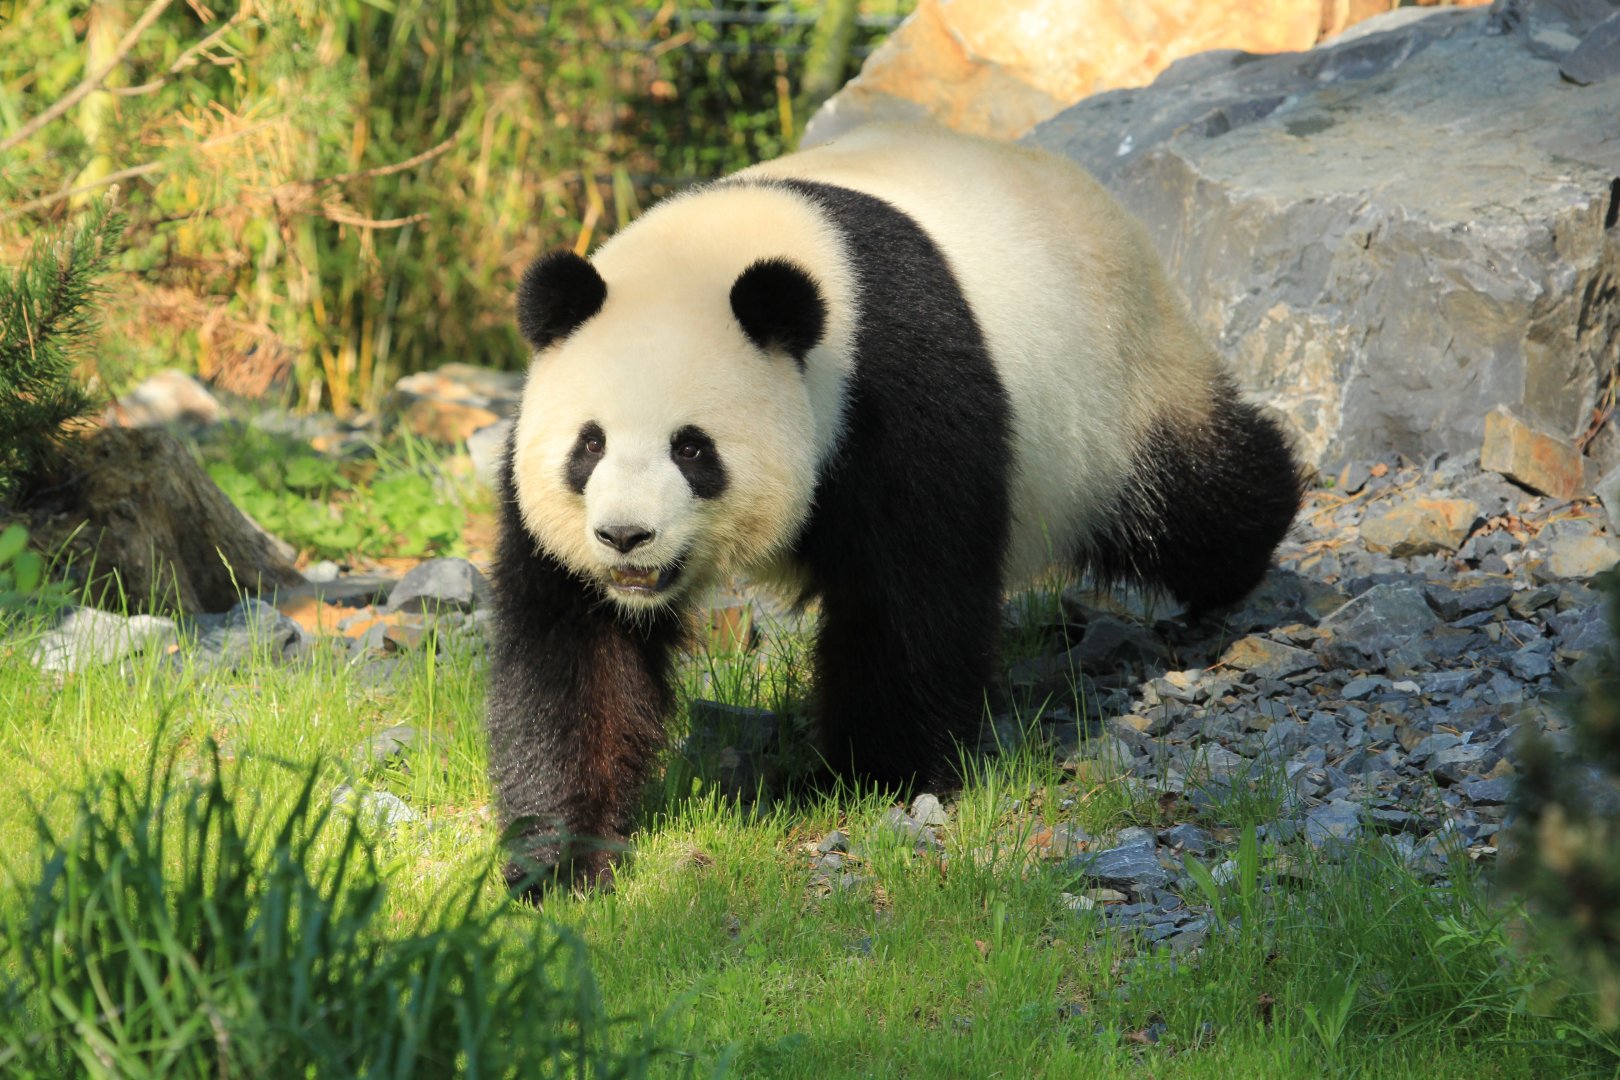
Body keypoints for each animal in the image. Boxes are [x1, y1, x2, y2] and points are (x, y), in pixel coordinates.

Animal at [487, 124, 1303, 893]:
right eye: (589, 445)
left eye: (692, 449)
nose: (625, 537)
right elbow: (574, 647)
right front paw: (562, 856)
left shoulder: (895, 384)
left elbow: (911, 593)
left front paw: (872, 778)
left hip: (1118, 387)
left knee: (1196, 499)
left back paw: (1250, 557)